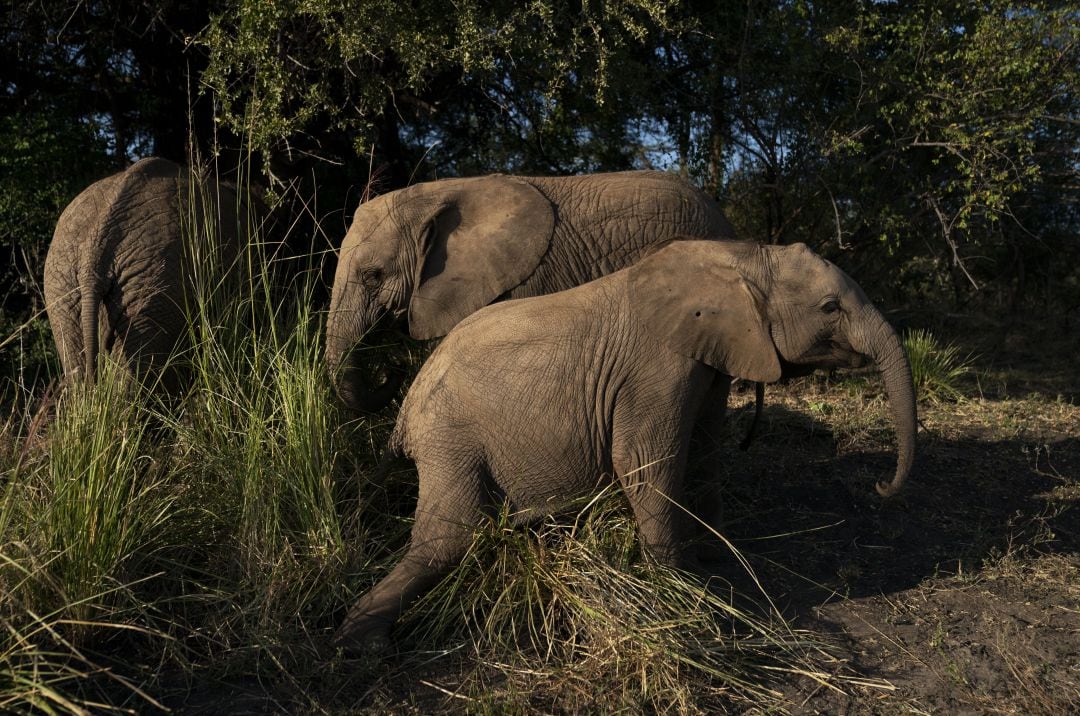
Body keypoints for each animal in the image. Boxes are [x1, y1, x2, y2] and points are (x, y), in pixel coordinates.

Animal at [332, 239, 915, 647]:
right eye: (830, 308)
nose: (883, 488)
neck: (744, 258)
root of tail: (405, 409)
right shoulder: (657, 368)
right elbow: (645, 463)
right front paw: (684, 597)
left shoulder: (707, 361)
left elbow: (705, 453)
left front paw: (716, 563)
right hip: (450, 436)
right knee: (449, 539)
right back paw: (361, 642)